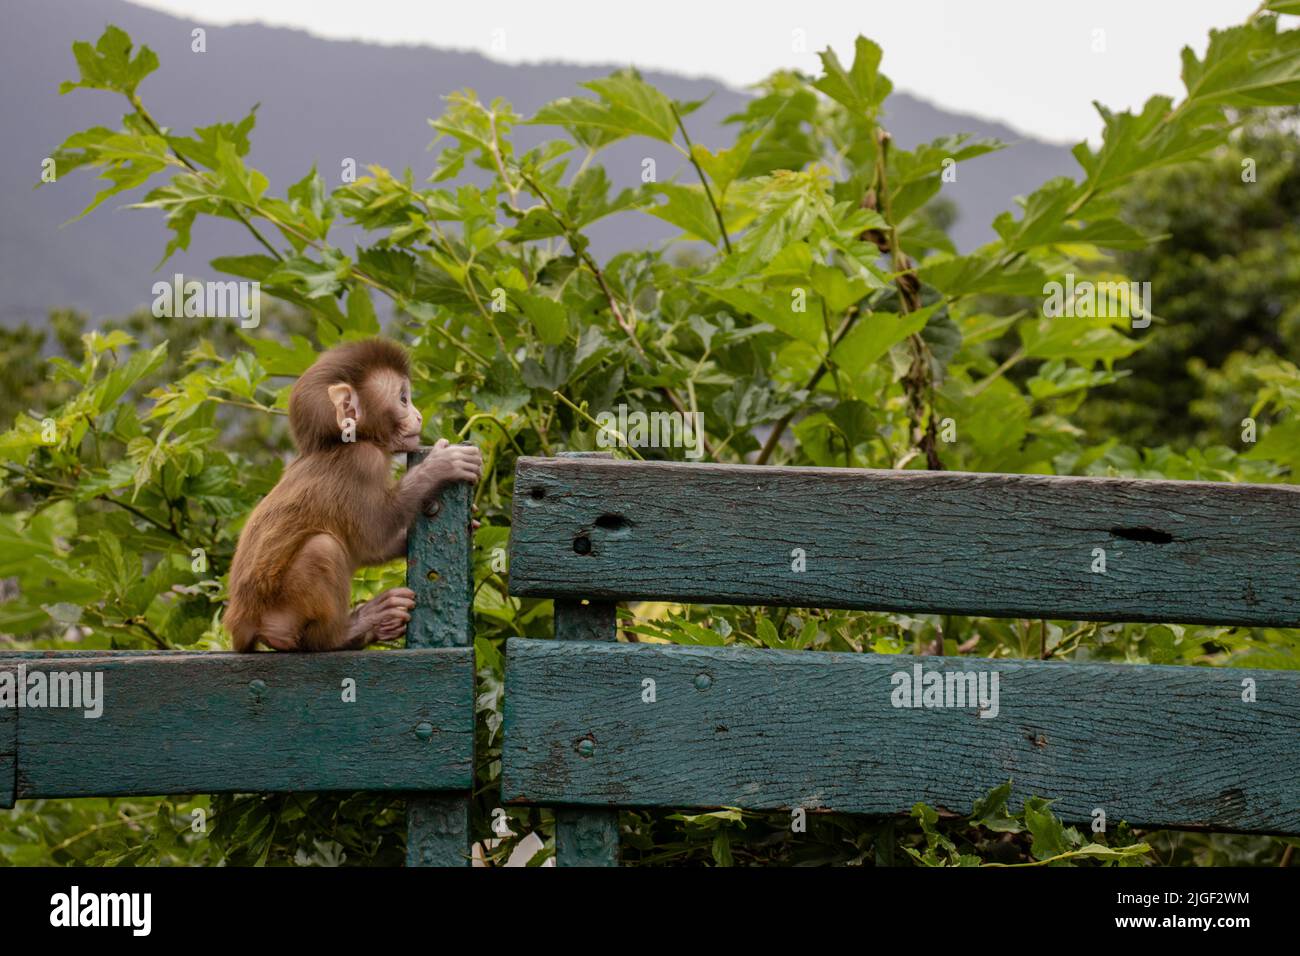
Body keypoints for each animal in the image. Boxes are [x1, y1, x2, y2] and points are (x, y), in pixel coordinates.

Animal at [226, 340, 486, 655]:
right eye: (403, 399)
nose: (419, 415)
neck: (339, 443)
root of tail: (243, 627)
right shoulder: (363, 461)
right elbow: (372, 533)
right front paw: (441, 466)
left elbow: (367, 547)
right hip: (282, 616)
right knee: (323, 548)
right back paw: (348, 632)